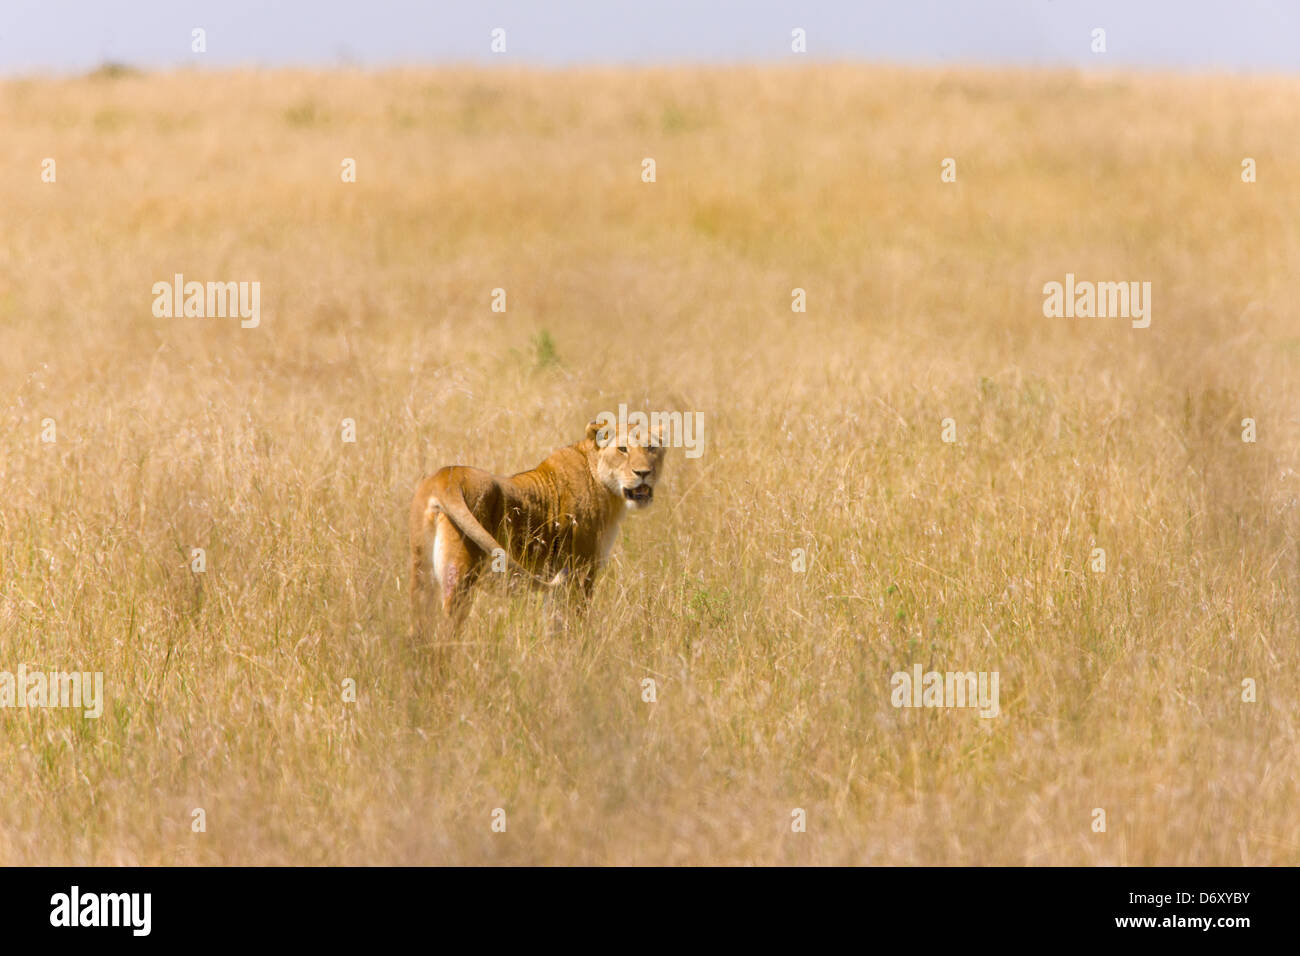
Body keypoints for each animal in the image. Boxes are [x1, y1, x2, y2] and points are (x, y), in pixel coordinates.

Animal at [408, 419, 666, 639]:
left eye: (651, 447)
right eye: (622, 449)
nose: (644, 473)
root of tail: (445, 478)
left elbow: (553, 623)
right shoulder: (581, 571)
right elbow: (574, 620)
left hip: (422, 575)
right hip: (461, 575)